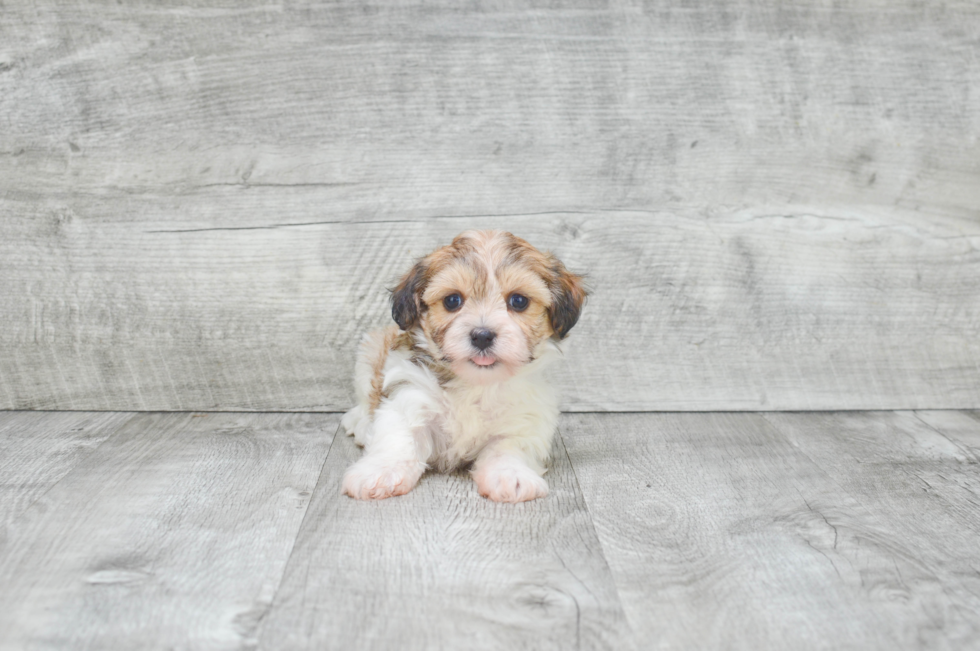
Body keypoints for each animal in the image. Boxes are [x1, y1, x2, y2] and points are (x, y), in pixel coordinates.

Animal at [340, 230, 584, 504]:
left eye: (519, 301)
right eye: (452, 301)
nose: (482, 336)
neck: (476, 382)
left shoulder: (523, 418)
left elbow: (508, 447)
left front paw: (511, 475)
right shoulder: (410, 394)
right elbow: (399, 437)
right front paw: (381, 471)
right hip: (369, 354)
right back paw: (359, 423)